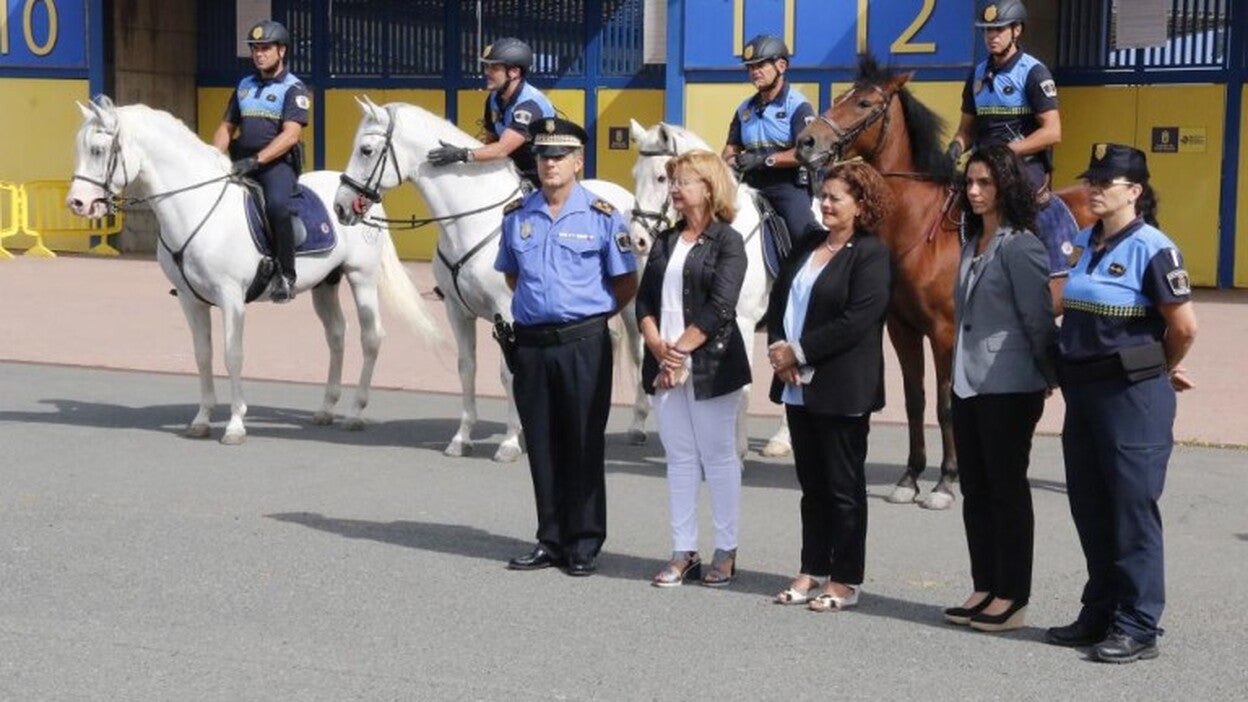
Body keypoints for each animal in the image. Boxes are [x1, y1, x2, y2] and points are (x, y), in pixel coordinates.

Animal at [68, 94, 441, 442]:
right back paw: (326, 408)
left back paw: (355, 412)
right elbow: (202, 355)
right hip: (325, 284)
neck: (198, 207)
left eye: (98, 150)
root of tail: (361, 199)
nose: (77, 203)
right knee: (336, 335)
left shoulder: (230, 297)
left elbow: (232, 354)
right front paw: (202, 419)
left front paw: (235, 424)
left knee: (371, 337)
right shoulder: (191, 300)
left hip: (361, 277)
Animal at [331, 95, 633, 462]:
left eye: (365, 150)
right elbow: (467, 367)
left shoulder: (510, 314)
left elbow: (510, 373)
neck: (469, 221)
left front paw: (510, 441)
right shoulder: (458, 312)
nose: (341, 206)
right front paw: (462, 437)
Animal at [624, 118, 818, 459]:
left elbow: (741, 387)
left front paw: (735, 451)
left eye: (661, 177)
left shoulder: (742, 321)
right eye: (634, 176)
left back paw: (783, 438)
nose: (638, 240)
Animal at [793, 53, 1098, 502]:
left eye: (865, 103)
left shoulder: (944, 332)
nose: (806, 142)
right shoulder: (901, 328)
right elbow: (916, 401)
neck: (919, 229)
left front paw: (947, 479)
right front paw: (910, 476)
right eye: (844, 95)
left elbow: (946, 404)